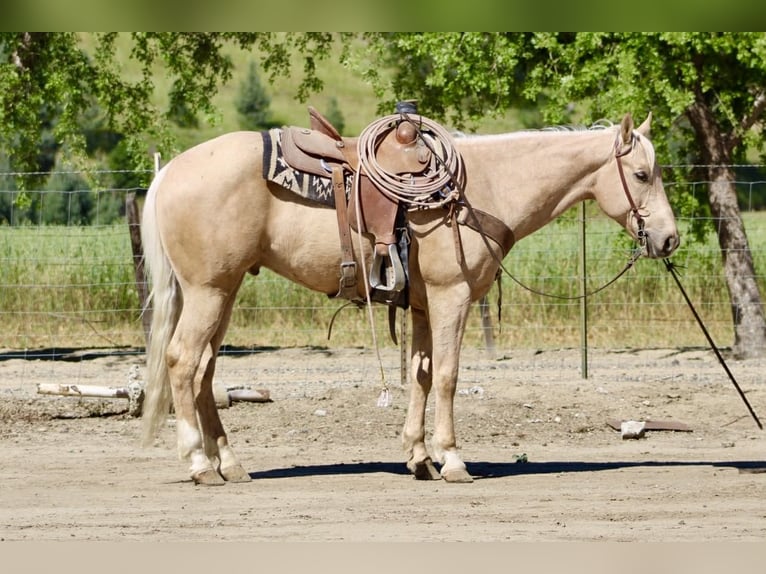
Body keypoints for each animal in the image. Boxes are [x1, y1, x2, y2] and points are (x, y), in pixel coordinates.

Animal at [140, 112, 679, 485]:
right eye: (642, 175)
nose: (670, 239)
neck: (482, 188)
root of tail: (170, 172)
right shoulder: (451, 297)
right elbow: (447, 376)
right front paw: (453, 460)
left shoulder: (421, 305)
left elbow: (420, 375)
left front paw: (419, 458)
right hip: (208, 291)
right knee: (183, 361)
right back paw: (199, 463)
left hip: (224, 292)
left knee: (205, 369)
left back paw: (230, 464)